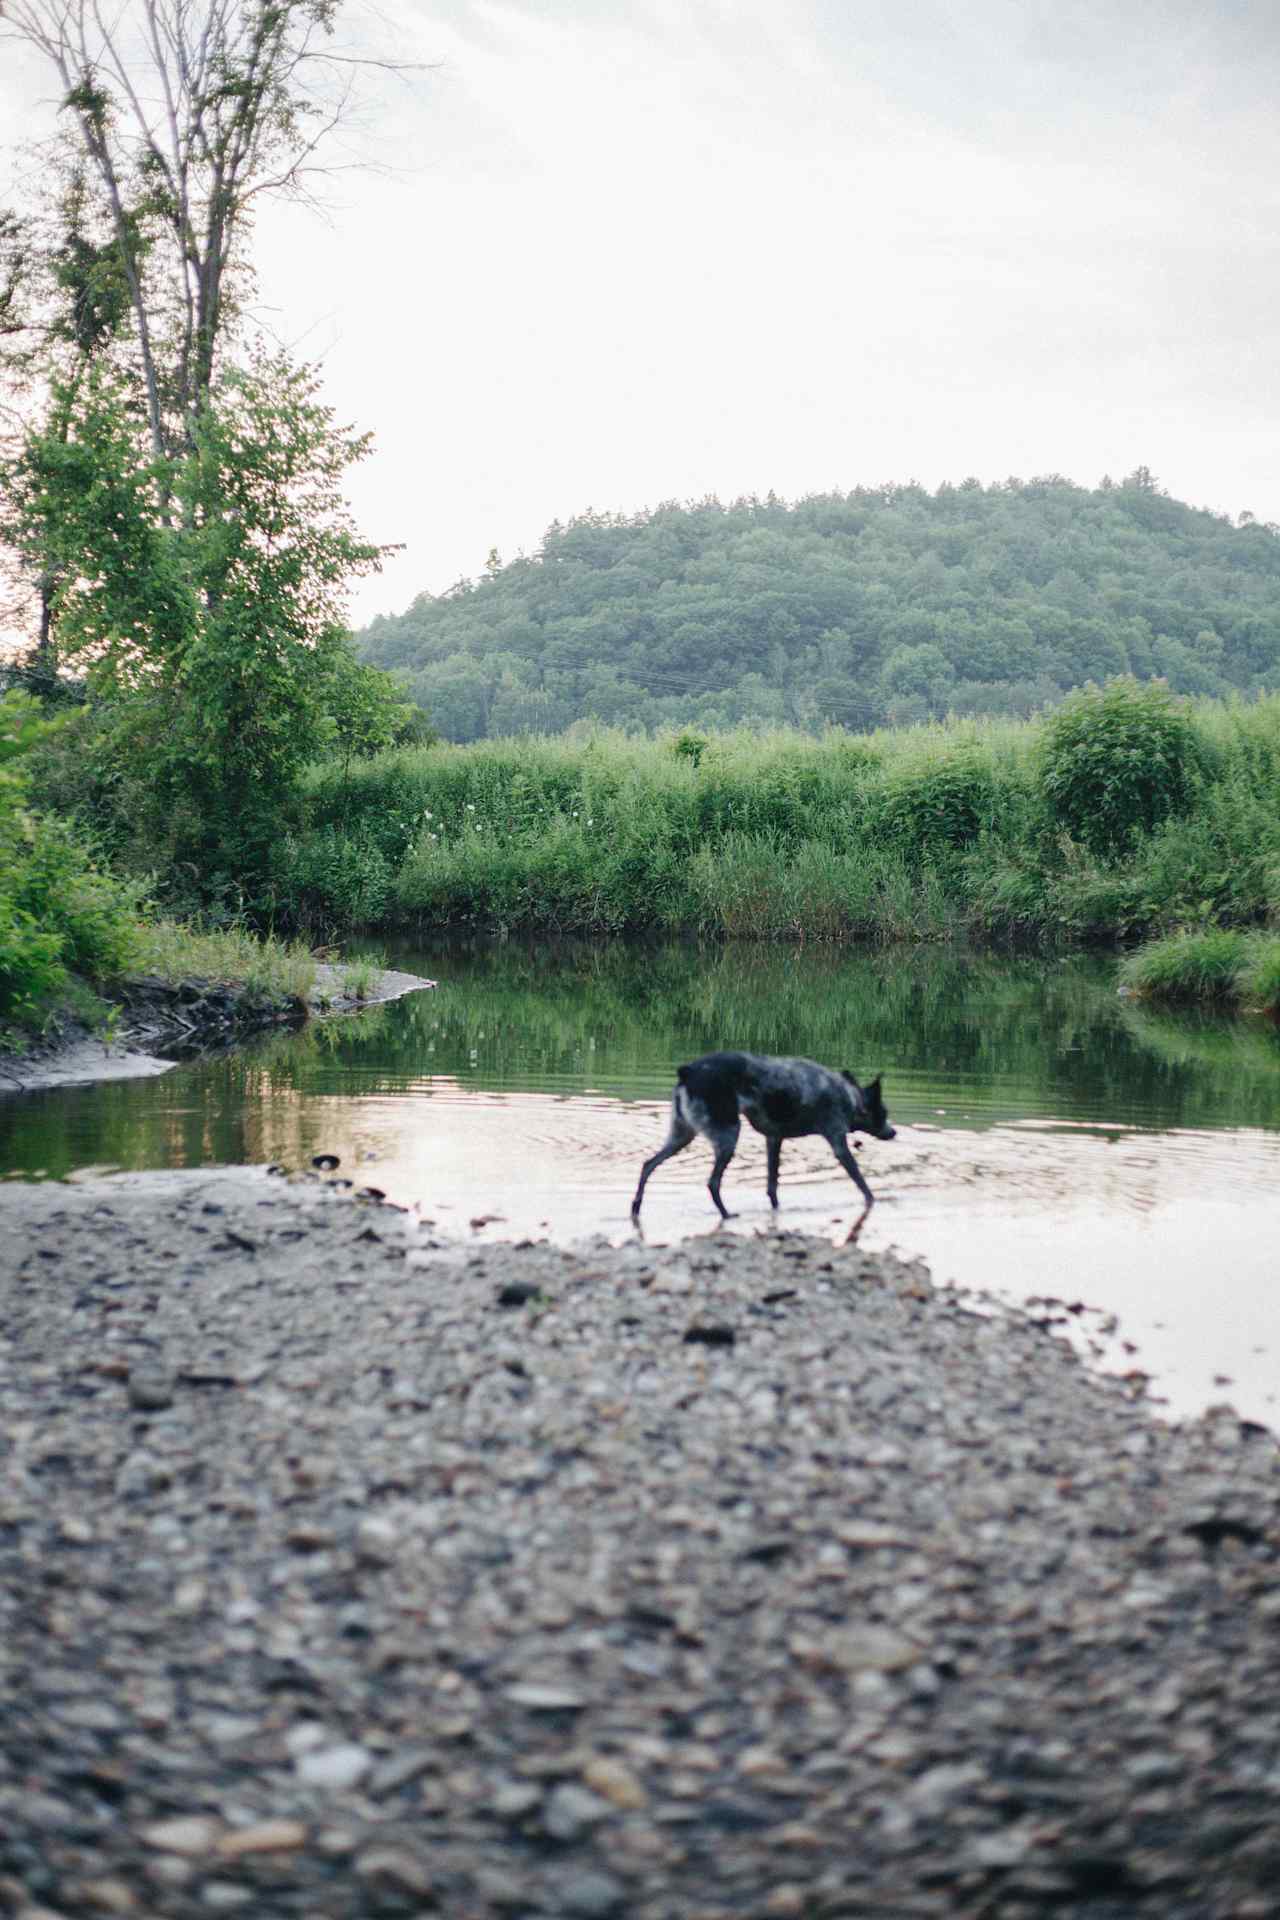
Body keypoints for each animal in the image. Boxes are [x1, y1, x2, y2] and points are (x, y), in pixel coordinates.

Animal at [629, 1059, 890, 1236]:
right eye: (884, 1113)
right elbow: (862, 1182)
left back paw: (636, 1206)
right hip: (727, 1138)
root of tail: (688, 1072)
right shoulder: (838, 1144)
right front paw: (873, 1200)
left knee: (647, 1165)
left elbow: (772, 1187)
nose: (893, 1132)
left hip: (681, 1137)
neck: (849, 1095)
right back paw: (726, 1214)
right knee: (713, 1183)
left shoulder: (774, 1140)